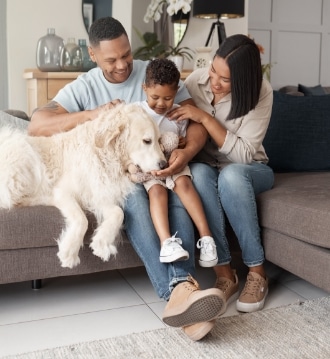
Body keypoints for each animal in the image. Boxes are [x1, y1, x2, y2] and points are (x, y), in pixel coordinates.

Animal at [0, 102, 166, 268]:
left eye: (159, 140)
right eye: (147, 141)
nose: (164, 164)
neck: (106, 156)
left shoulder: (99, 194)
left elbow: (118, 213)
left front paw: (102, 242)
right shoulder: (65, 192)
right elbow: (82, 219)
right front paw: (69, 251)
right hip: (22, 154)